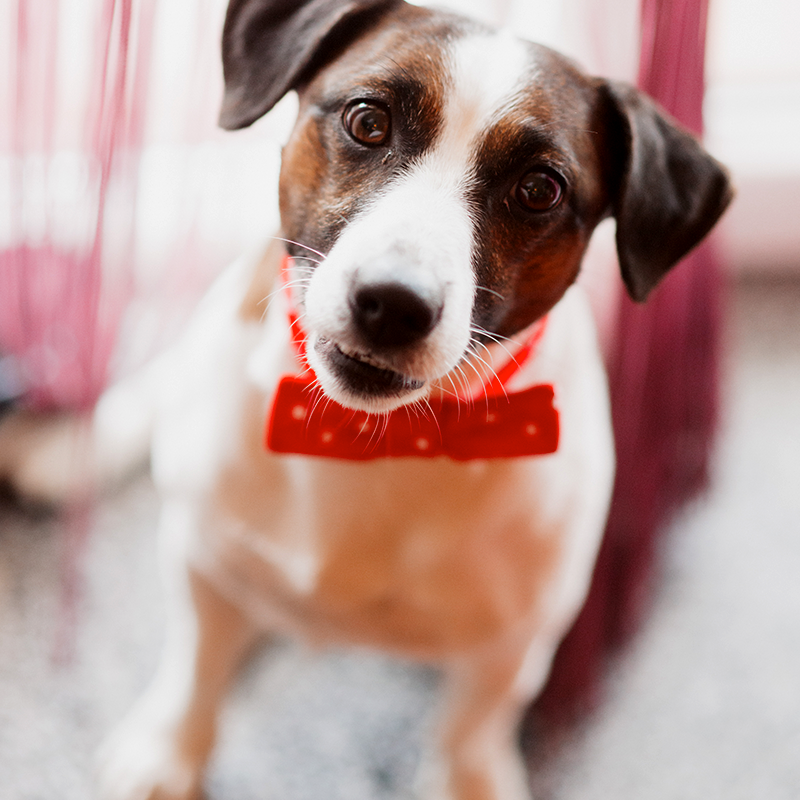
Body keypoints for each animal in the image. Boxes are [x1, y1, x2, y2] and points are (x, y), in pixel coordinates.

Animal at [1, 1, 732, 798]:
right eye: (367, 121)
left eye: (540, 189)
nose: (393, 303)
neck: (370, 437)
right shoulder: (202, 558)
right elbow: (197, 666)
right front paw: (169, 751)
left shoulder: (511, 644)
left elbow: (470, 733)